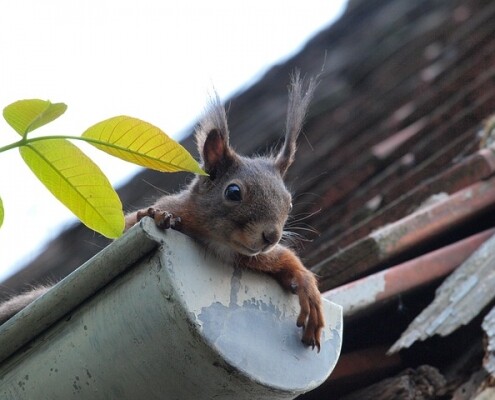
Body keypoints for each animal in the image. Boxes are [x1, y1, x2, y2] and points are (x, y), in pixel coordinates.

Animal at [0, 74, 326, 350]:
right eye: (234, 192)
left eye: (289, 202)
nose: (271, 236)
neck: (218, 241)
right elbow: (130, 226)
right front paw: (158, 216)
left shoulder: (250, 257)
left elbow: (285, 260)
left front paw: (307, 287)